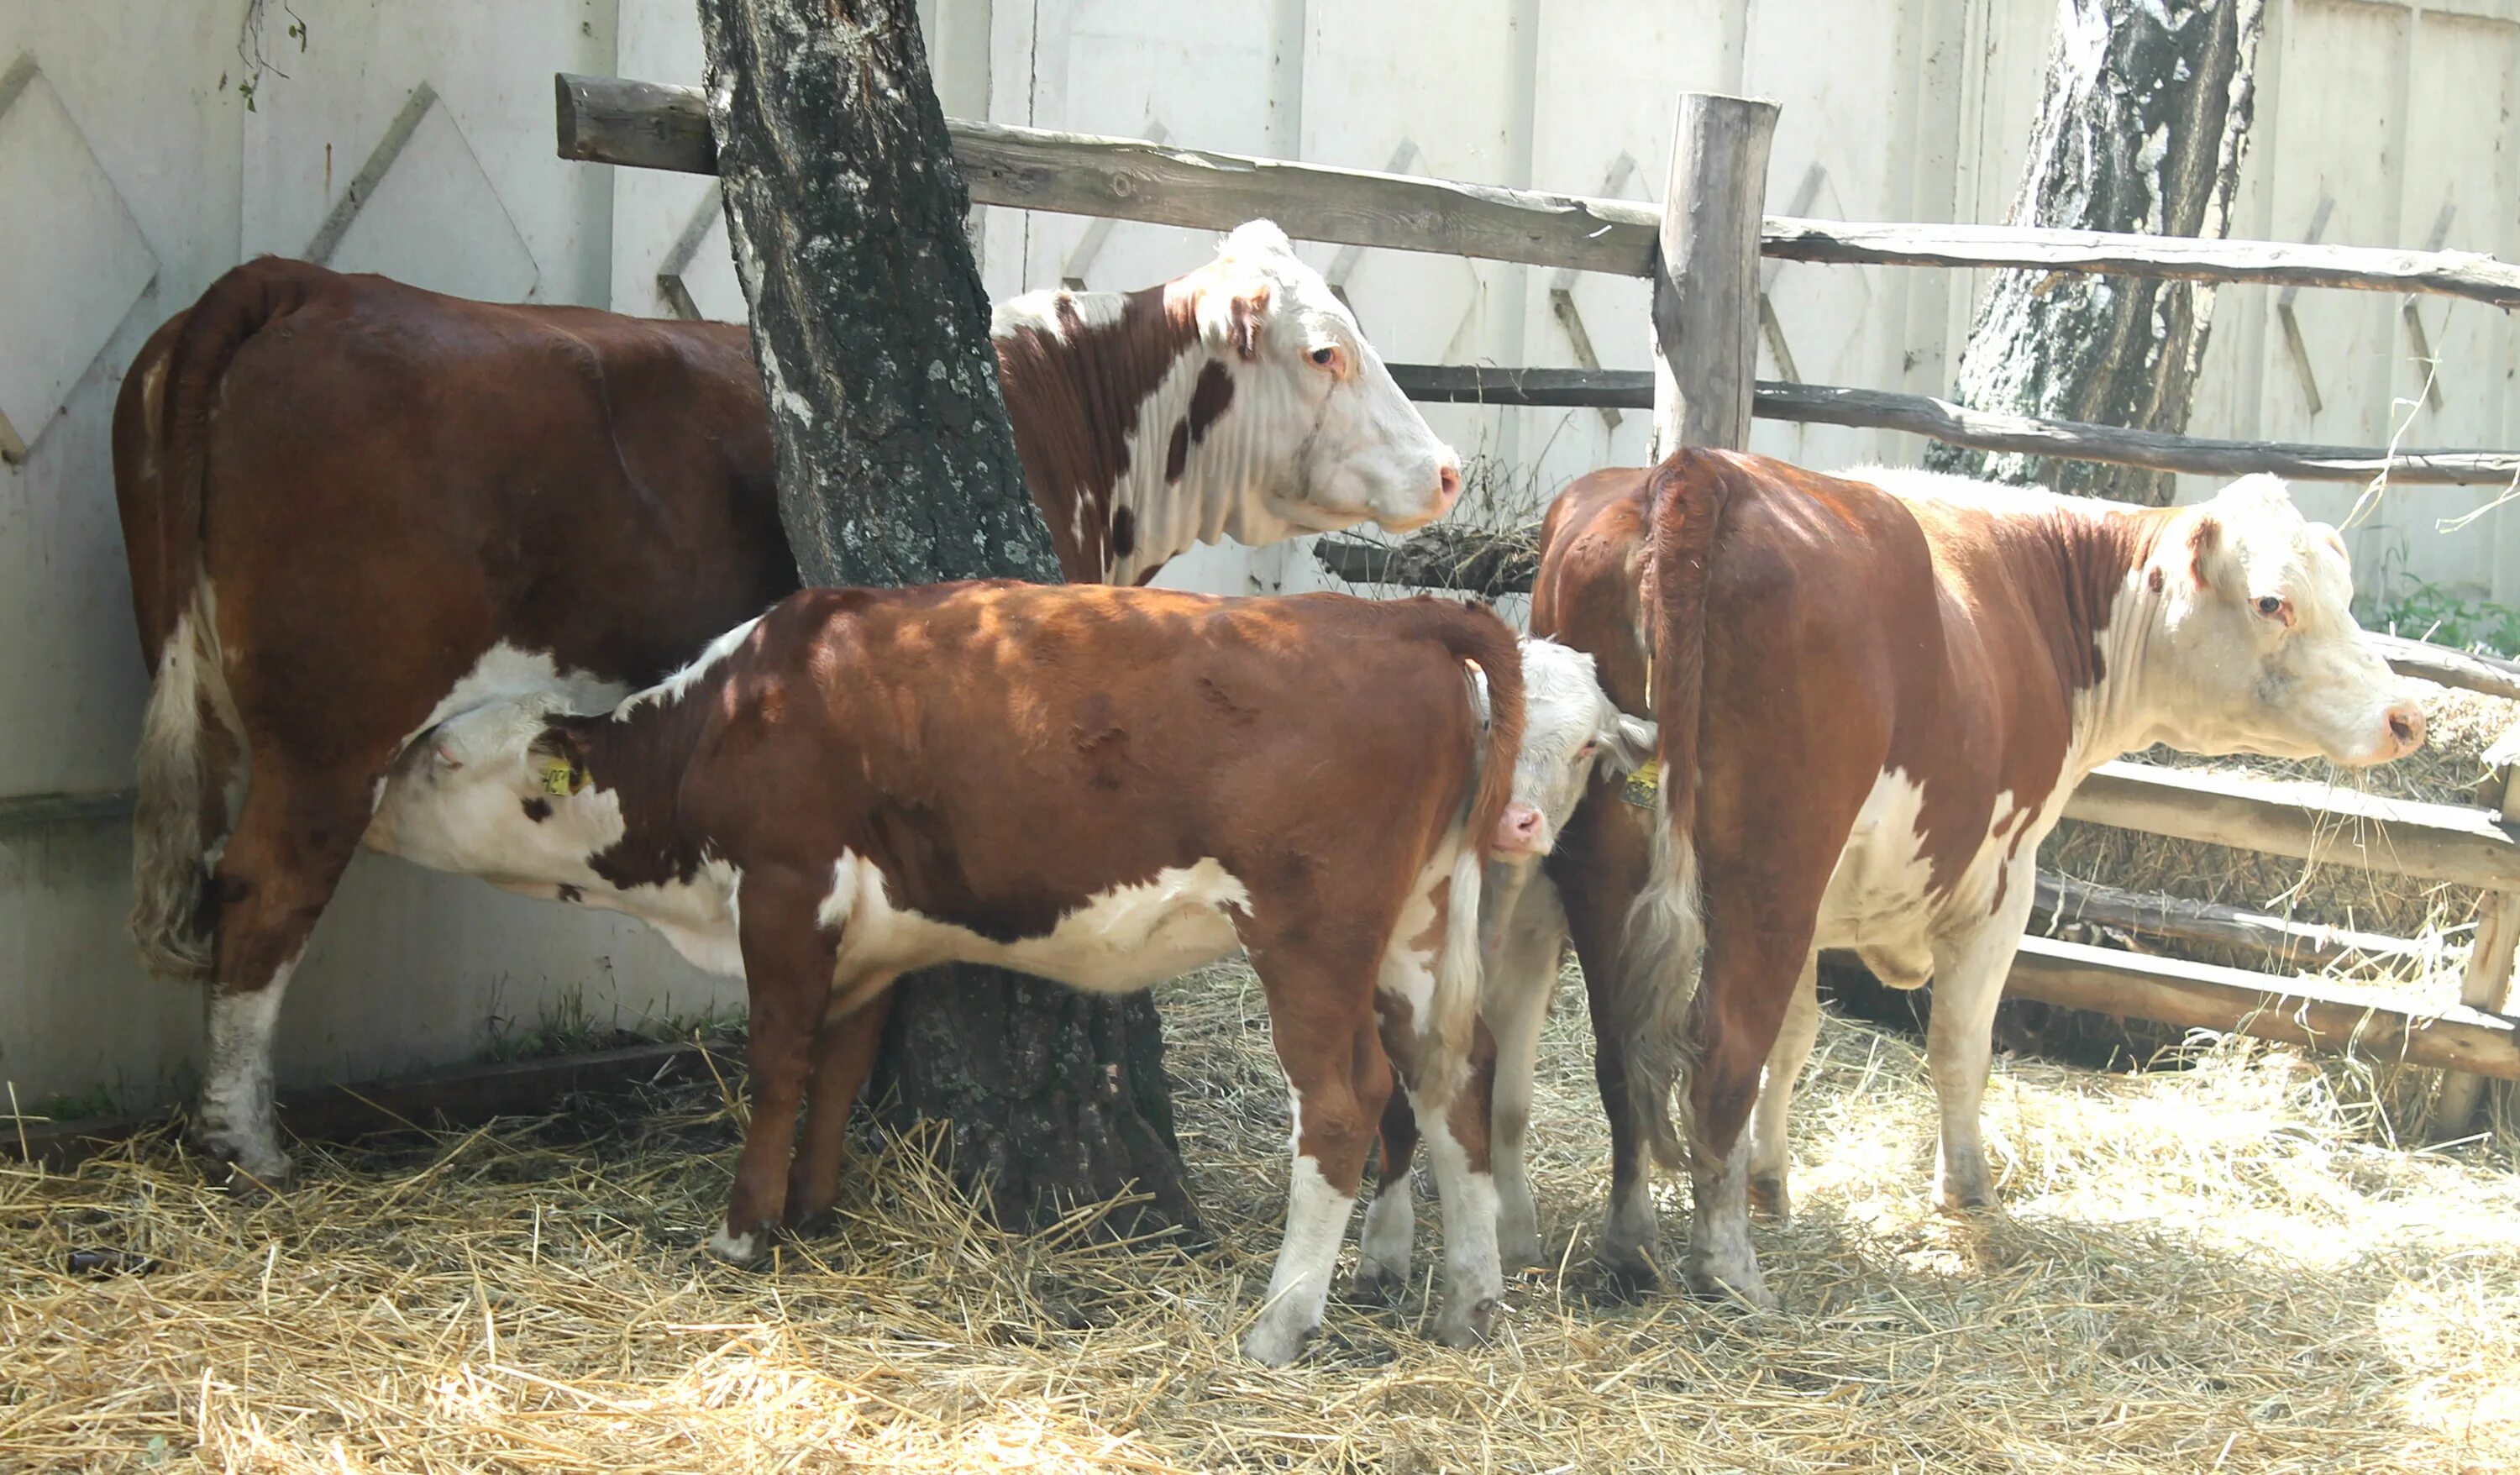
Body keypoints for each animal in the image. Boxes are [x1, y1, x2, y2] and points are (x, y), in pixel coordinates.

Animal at [113, 215, 1462, 1184]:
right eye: (1326, 350)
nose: (1448, 469)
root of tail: (306, 283)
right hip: (331, 736)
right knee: (262, 897)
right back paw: (249, 1145)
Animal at [363, 580, 1613, 1361]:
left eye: (439, 756)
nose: (362, 802)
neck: (735, 713)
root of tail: (1401, 621)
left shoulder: (785, 891)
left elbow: (776, 1064)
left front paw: (741, 1233)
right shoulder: (868, 938)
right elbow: (839, 1065)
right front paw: (815, 1212)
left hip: (1311, 937)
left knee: (1349, 1106)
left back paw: (1278, 1325)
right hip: (1416, 932)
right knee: (1453, 1086)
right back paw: (1470, 1300)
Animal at [1512, 446, 2419, 1300]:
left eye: (2342, 589)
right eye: (2273, 601)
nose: (2405, 715)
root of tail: (1698, 471)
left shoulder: (1821, 905)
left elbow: (1795, 1039)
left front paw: (1769, 1182)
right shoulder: (1998, 884)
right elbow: (1958, 1045)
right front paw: (1967, 1190)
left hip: (1614, 861)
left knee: (1623, 1047)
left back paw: (1632, 1247)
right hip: (1773, 867)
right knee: (1720, 1053)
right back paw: (1726, 1269)